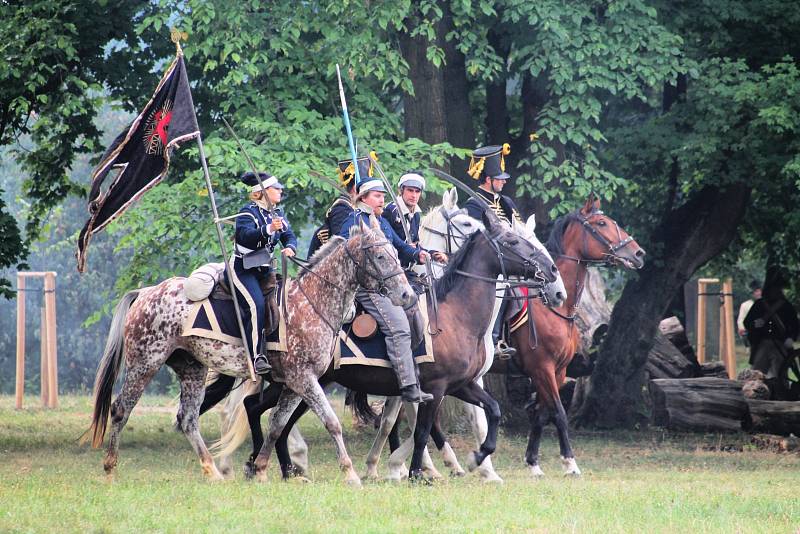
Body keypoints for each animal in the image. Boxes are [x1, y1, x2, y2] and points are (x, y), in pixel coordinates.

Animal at [84, 216, 416, 484]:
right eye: (379, 255)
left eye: (395, 253)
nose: (407, 295)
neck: (312, 301)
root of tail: (146, 292)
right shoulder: (305, 379)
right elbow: (331, 422)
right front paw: (349, 474)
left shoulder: (293, 384)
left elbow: (276, 425)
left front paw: (261, 469)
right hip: (145, 362)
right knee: (121, 410)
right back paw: (110, 470)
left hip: (192, 368)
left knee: (188, 418)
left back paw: (213, 473)